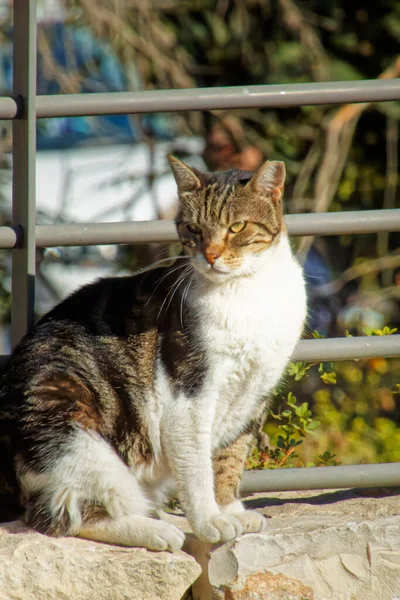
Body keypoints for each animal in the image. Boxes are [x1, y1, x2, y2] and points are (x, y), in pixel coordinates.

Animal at [0, 156, 306, 552]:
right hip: (74, 427)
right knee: (62, 515)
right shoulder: (189, 394)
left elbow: (230, 458)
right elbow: (197, 467)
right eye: (193, 229)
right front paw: (210, 521)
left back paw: (163, 517)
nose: (210, 255)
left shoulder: (255, 394)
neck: (247, 290)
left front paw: (230, 510)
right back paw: (156, 531)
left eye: (237, 226)